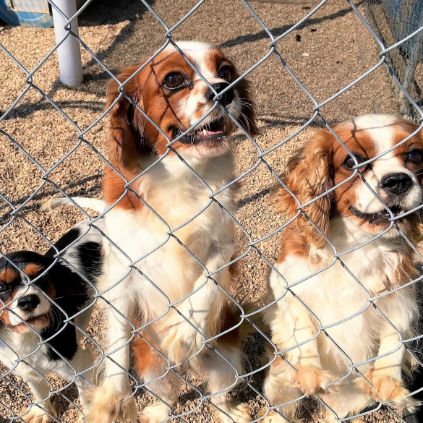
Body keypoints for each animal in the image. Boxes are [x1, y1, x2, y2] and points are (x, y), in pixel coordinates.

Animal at [0, 220, 103, 422]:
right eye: (1, 287)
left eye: (41, 277)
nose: (28, 301)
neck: (27, 337)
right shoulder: (28, 371)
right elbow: (39, 392)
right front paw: (42, 412)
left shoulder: (81, 364)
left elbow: (86, 397)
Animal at [87, 40, 256, 423]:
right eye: (174, 80)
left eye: (226, 71)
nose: (224, 90)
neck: (183, 175)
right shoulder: (121, 274)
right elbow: (116, 347)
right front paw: (111, 397)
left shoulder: (224, 246)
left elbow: (208, 279)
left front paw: (183, 332)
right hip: (153, 366)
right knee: (167, 394)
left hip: (226, 359)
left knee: (218, 394)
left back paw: (228, 409)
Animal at [264, 114, 422, 422]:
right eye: (352, 161)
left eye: (415, 155)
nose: (398, 181)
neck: (358, 243)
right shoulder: (286, 280)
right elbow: (303, 324)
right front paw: (311, 372)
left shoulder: (400, 293)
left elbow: (395, 337)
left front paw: (390, 384)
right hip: (276, 382)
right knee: (281, 410)